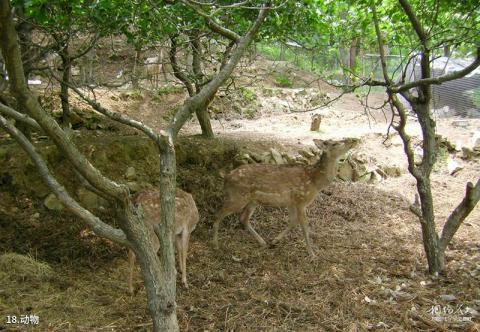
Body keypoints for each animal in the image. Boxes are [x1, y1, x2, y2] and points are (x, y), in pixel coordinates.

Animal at [212, 137, 358, 256]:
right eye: (335, 143)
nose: (354, 140)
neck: (315, 183)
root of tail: (226, 178)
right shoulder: (301, 200)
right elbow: (304, 226)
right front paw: (312, 254)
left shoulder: (291, 203)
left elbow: (292, 222)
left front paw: (275, 240)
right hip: (237, 196)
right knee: (218, 214)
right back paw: (215, 244)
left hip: (252, 200)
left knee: (243, 218)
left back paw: (263, 242)